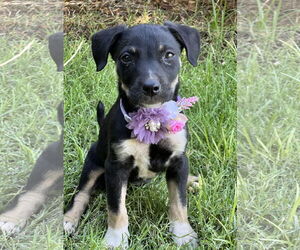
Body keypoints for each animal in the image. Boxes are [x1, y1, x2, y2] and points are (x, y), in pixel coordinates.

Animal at [64, 22, 200, 248]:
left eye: (169, 55)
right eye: (126, 57)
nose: (151, 88)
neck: (152, 120)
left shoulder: (179, 159)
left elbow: (179, 202)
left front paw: (183, 235)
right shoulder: (116, 166)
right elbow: (116, 208)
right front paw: (116, 239)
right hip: (93, 163)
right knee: (81, 194)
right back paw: (69, 220)